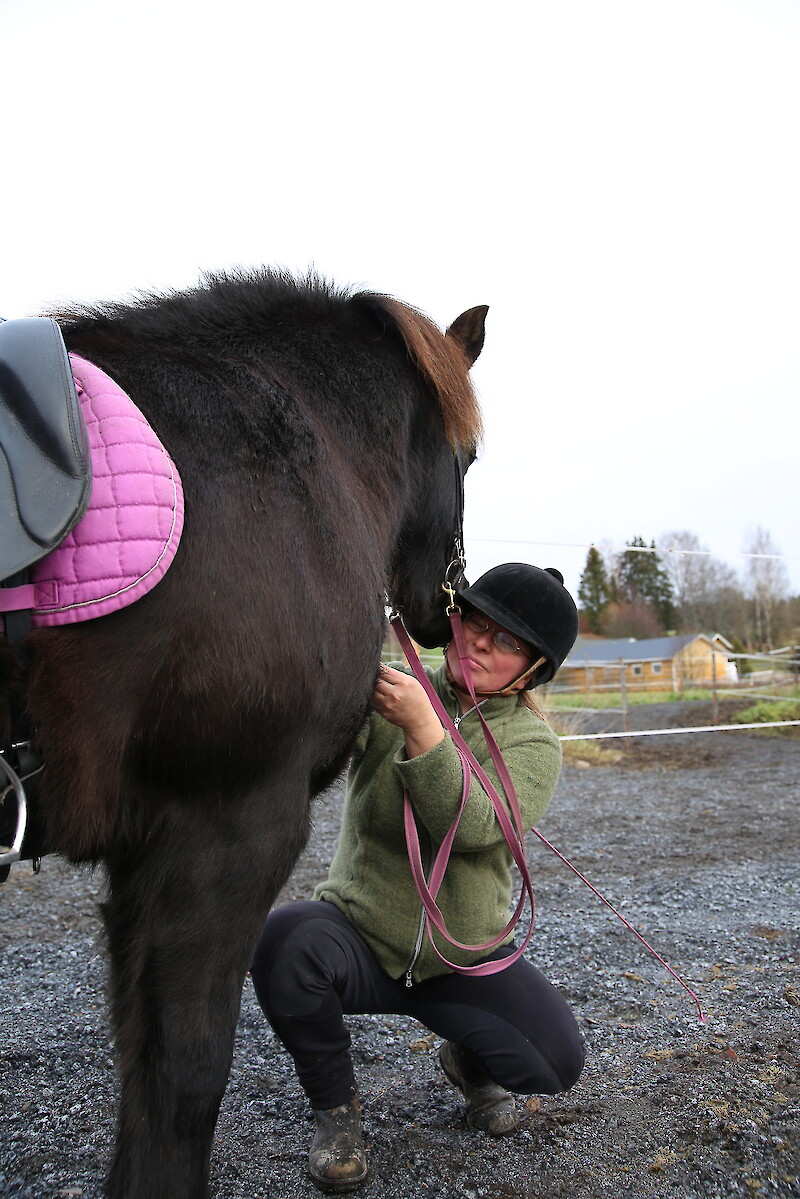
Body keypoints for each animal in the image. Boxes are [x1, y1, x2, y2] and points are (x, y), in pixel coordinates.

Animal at [0, 269, 484, 1199]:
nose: (449, 605)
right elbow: (185, 1075)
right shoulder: (227, 827)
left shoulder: (143, 850)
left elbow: (141, 1066)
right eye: (469, 457)